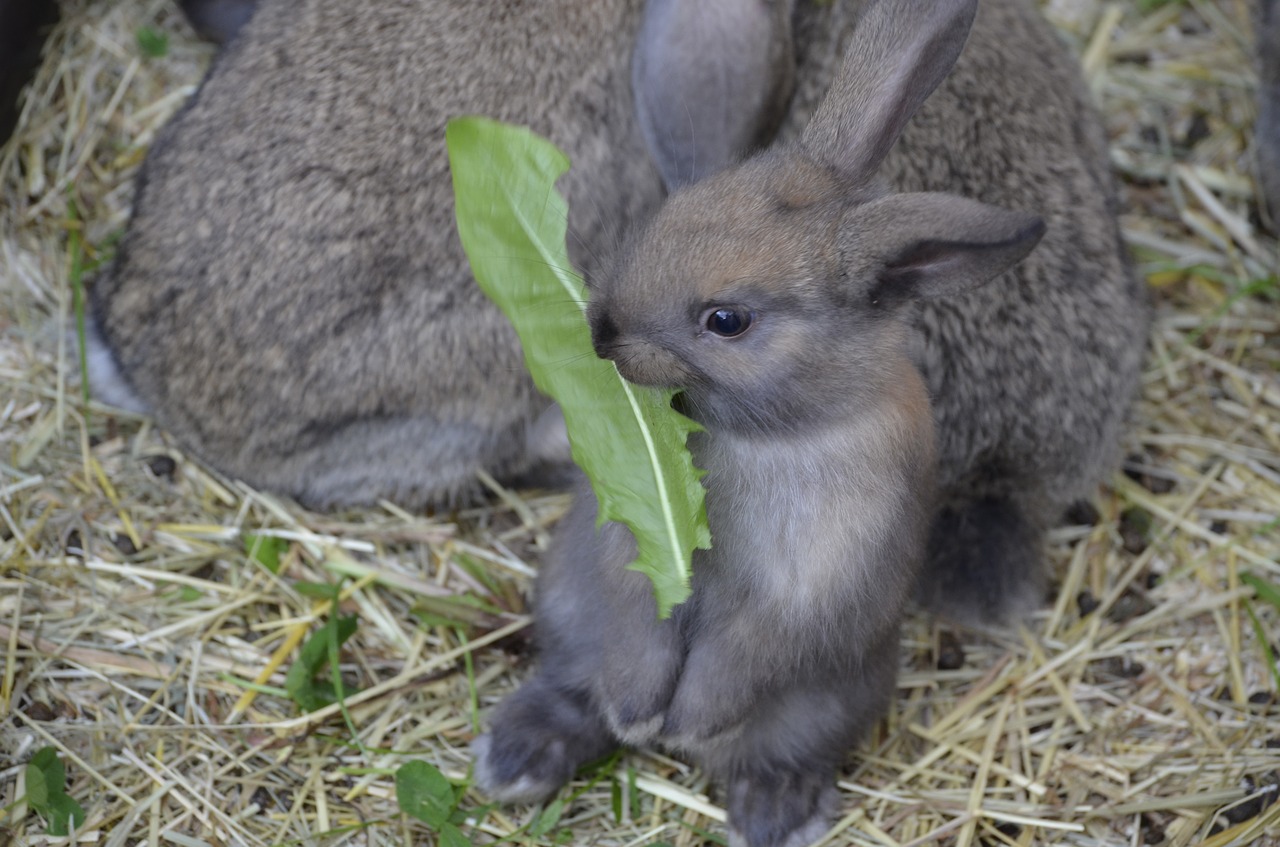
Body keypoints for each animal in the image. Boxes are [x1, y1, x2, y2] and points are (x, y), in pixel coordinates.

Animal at [473, 3, 1049, 844]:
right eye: (664, 216)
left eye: (727, 320)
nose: (602, 332)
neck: (774, 432)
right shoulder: (636, 557)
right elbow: (643, 620)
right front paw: (641, 711)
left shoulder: (805, 587)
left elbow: (743, 651)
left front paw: (685, 722)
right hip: (568, 612)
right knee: (576, 695)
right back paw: (517, 758)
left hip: (831, 700)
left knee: (777, 753)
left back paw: (771, 811)